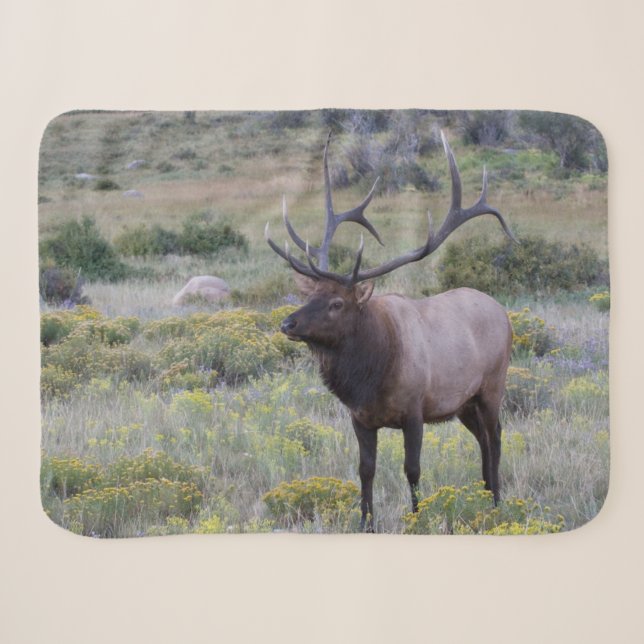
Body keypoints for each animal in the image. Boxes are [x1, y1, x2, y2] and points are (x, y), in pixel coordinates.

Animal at [265, 131, 517, 531]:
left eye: (337, 303)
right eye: (311, 294)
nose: (287, 323)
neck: (372, 376)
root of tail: (503, 314)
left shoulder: (415, 410)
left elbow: (412, 469)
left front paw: (417, 517)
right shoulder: (360, 418)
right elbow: (365, 470)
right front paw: (365, 522)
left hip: (493, 384)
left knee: (496, 436)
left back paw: (495, 502)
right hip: (463, 402)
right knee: (482, 438)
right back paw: (484, 493)